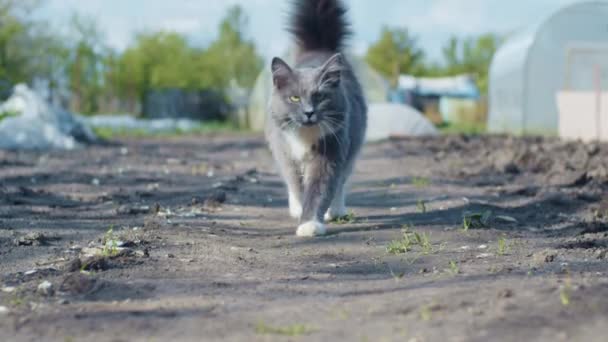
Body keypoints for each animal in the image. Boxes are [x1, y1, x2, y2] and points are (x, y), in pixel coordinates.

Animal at [264, 0, 366, 236]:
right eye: (294, 98)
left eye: (319, 96)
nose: (309, 112)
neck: (305, 135)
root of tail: (318, 48)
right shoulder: (286, 152)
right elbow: (296, 185)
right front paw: (300, 212)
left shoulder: (330, 153)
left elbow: (320, 190)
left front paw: (309, 224)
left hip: (352, 145)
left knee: (342, 182)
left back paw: (335, 211)